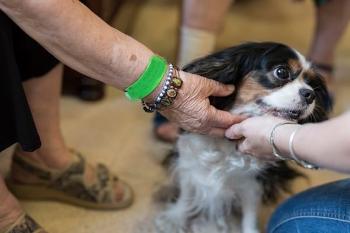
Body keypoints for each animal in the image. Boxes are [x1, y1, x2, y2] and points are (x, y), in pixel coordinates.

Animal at [154, 41, 332, 233]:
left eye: (310, 83)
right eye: (282, 72)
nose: (310, 94)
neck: (226, 145)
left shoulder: (253, 183)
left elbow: (249, 213)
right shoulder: (189, 165)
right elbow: (186, 195)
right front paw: (175, 218)